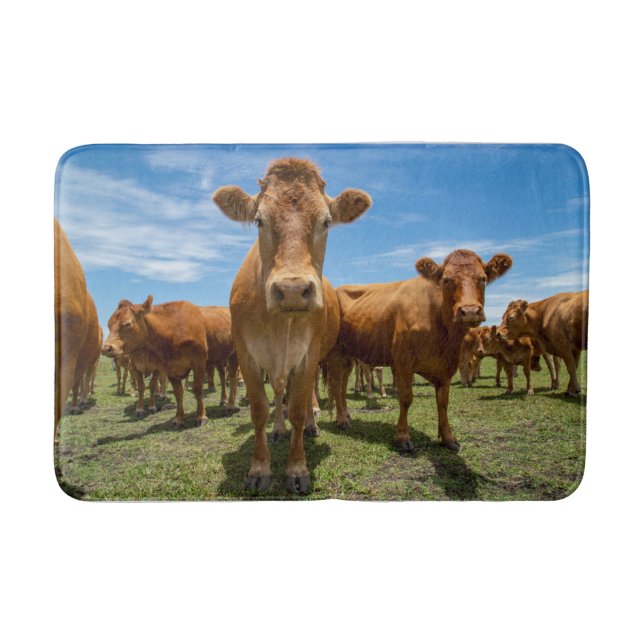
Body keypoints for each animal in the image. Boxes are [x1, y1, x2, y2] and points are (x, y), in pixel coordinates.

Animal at [102, 297, 209, 427]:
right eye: (108, 325)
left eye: (127, 324)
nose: (105, 348)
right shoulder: (139, 367)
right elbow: (144, 387)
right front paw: (140, 409)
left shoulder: (197, 363)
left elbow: (195, 389)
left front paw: (201, 416)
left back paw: (162, 394)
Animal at [212, 157, 371, 494]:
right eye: (259, 220)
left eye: (326, 222)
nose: (293, 290)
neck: (279, 325)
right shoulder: (246, 355)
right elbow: (260, 409)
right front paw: (260, 469)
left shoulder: (309, 355)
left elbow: (297, 407)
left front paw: (297, 470)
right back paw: (278, 430)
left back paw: (311, 425)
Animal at [326, 249, 512, 452]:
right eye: (446, 279)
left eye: (483, 278)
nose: (469, 311)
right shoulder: (404, 362)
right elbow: (406, 398)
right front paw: (402, 437)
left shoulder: (447, 366)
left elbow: (443, 402)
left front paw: (448, 438)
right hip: (335, 352)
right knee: (336, 383)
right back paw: (342, 420)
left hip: (348, 355)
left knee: (343, 384)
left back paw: (346, 414)